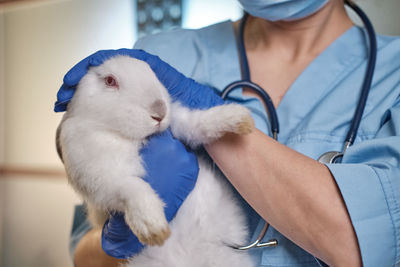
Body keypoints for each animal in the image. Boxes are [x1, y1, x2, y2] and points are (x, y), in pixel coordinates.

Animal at [55, 55, 256, 266]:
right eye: (110, 81)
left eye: (152, 72)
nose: (160, 112)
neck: (129, 136)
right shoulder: (101, 177)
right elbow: (132, 187)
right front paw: (154, 228)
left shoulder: (181, 125)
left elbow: (198, 124)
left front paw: (239, 118)